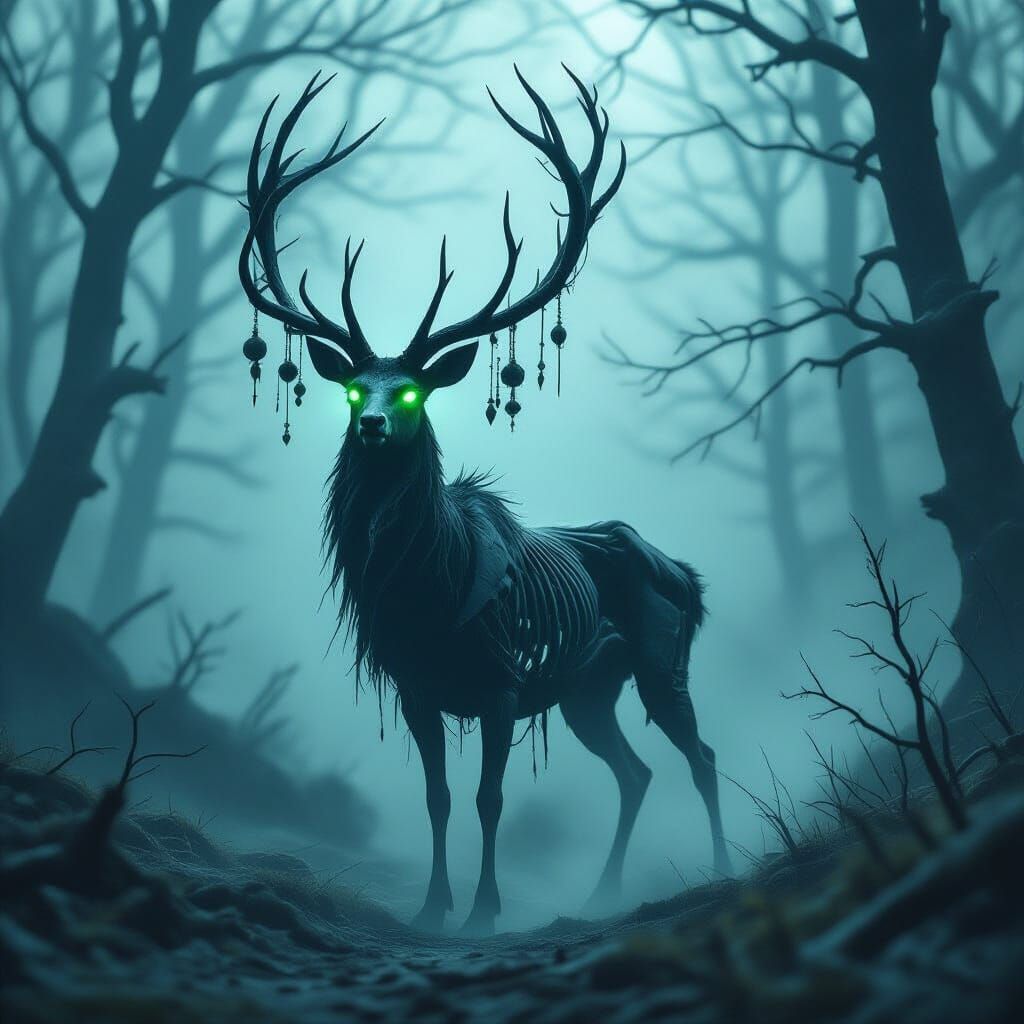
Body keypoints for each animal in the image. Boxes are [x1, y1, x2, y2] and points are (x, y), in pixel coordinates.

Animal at [239, 68, 730, 936]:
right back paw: (601, 893)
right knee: (634, 772)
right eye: (352, 391)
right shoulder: (416, 687)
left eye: (409, 392)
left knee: (698, 758)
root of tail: (685, 574)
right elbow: (437, 798)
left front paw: (483, 912)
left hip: (659, 659)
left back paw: (721, 868)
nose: (370, 425)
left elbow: (488, 798)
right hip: (586, 690)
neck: (424, 596)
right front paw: (434, 908)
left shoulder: (502, 685)